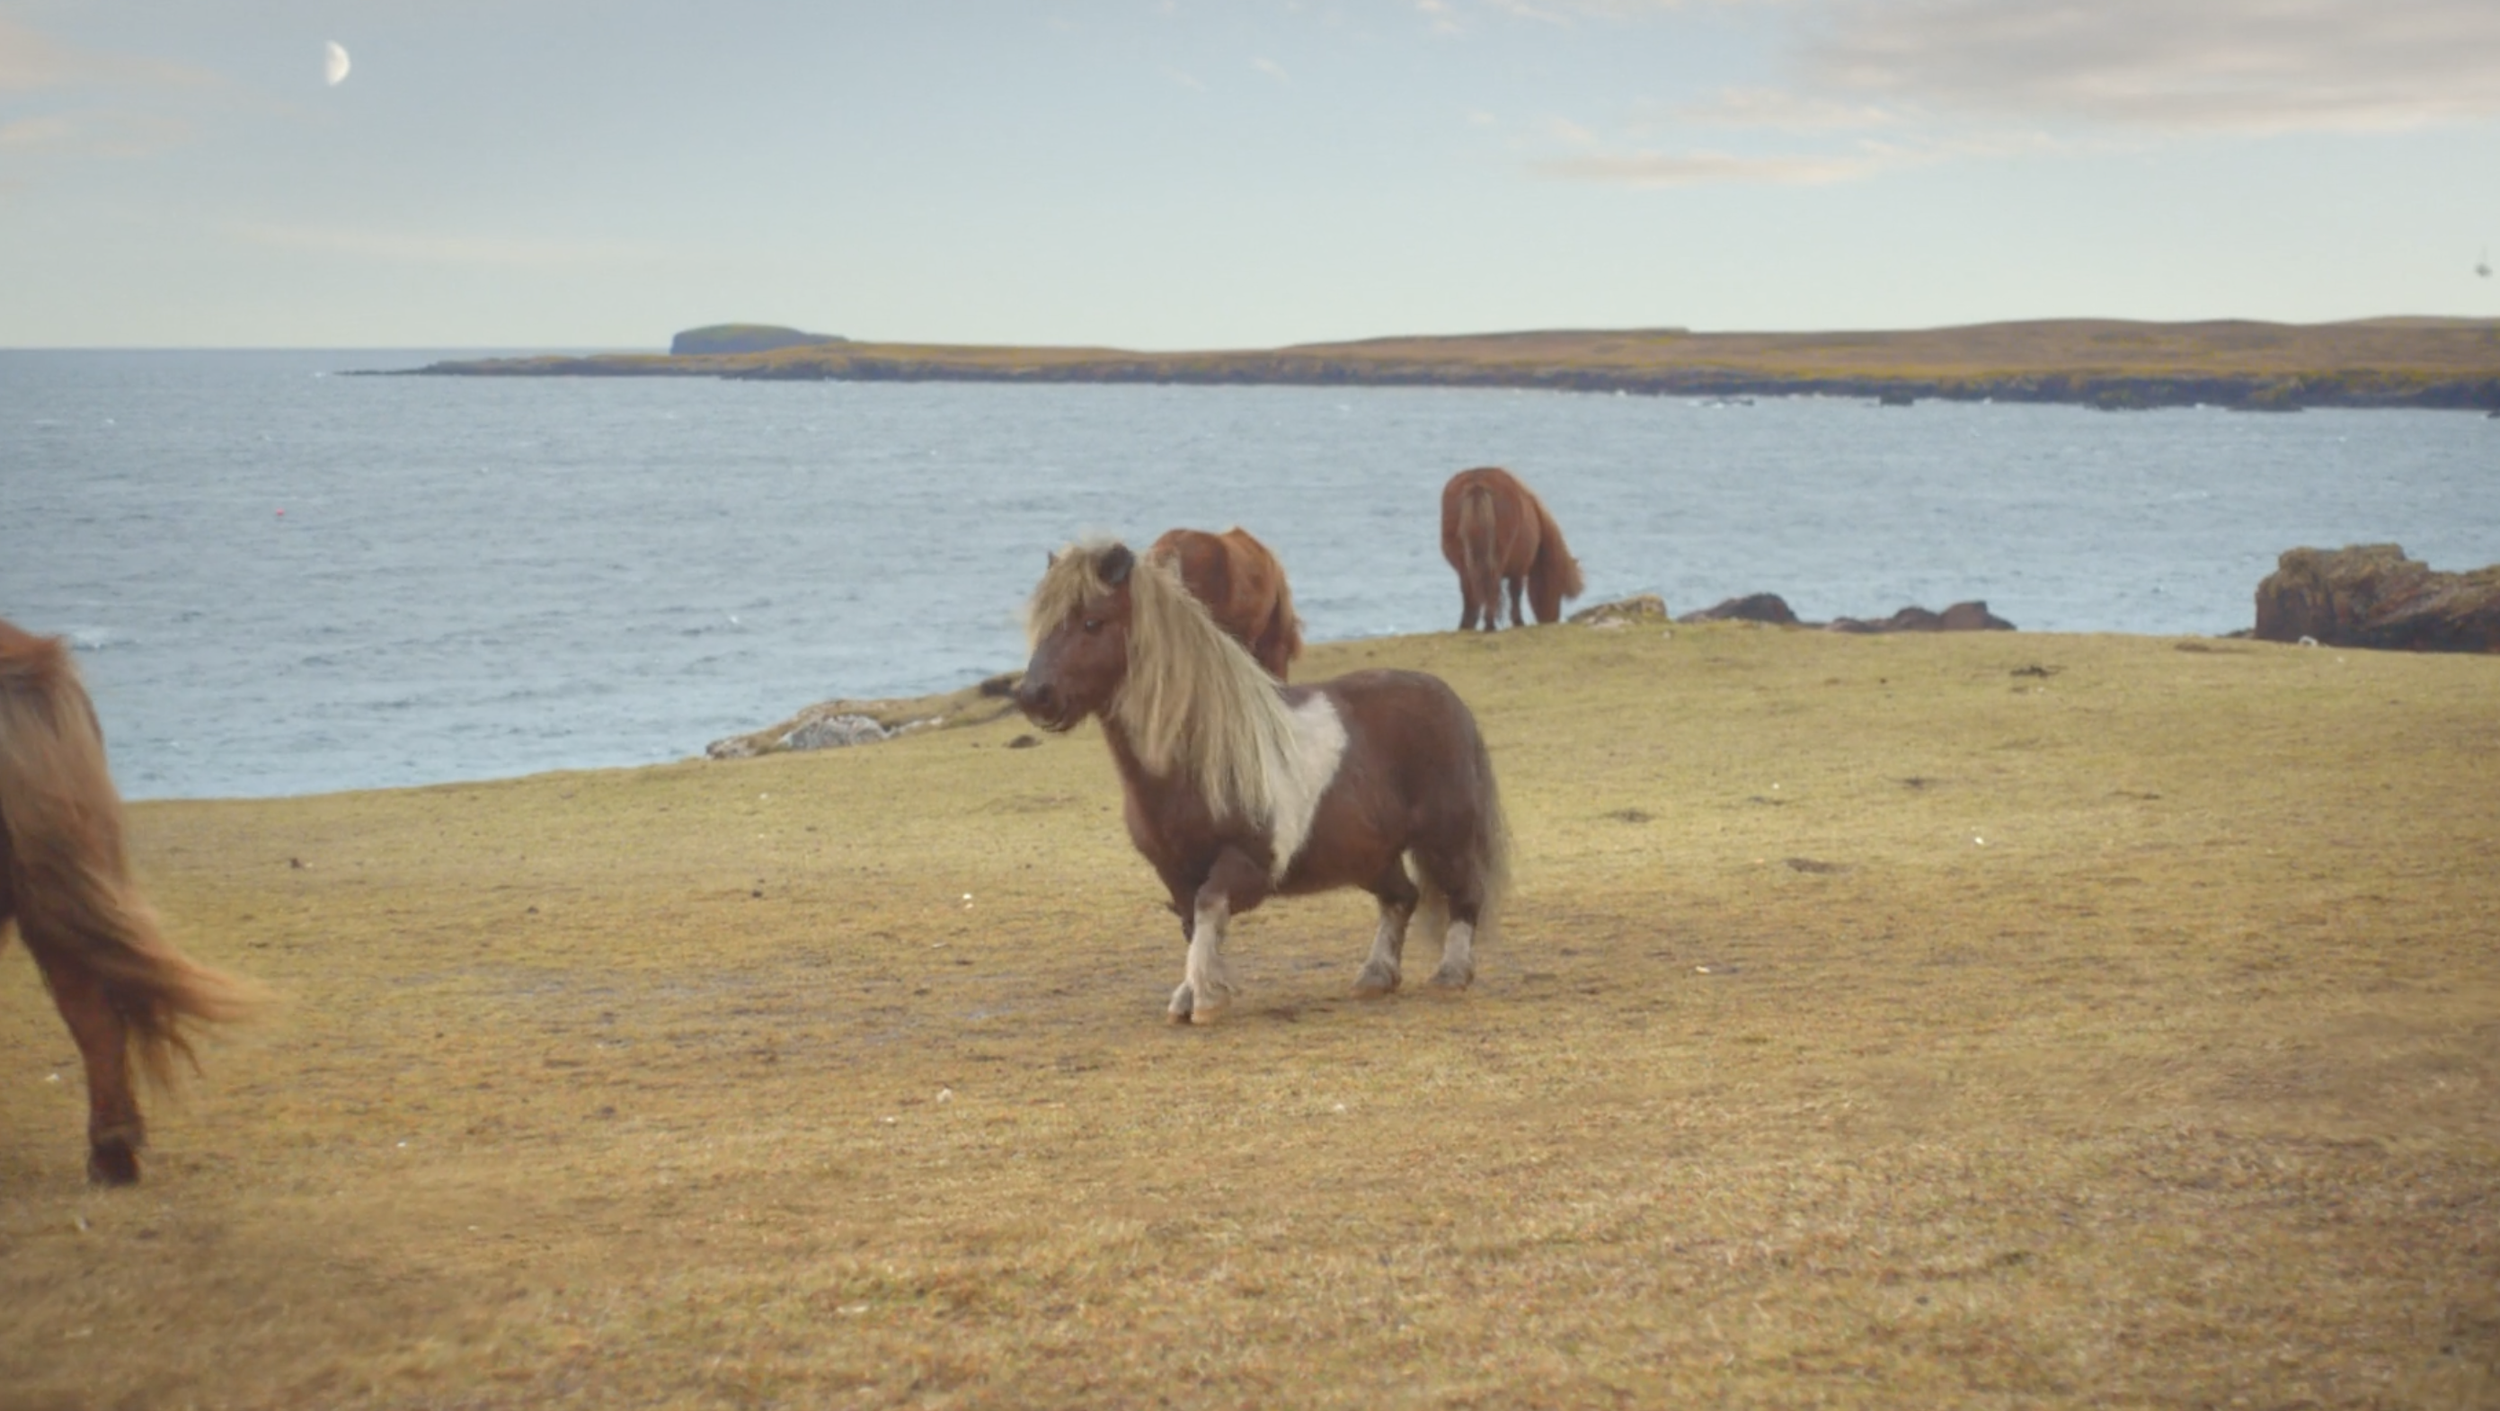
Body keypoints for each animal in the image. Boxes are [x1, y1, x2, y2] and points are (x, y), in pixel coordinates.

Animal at [1439, 466, 1585, 630]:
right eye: (1558, 587)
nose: (1551, 619)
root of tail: (1477, 483)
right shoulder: (1519, 570)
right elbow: (1515, 594)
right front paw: (1518, 622)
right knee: (1492, 588)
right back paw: (1489, 626)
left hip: (1465, 564)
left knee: (1471, 592)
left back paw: (1467, 625)